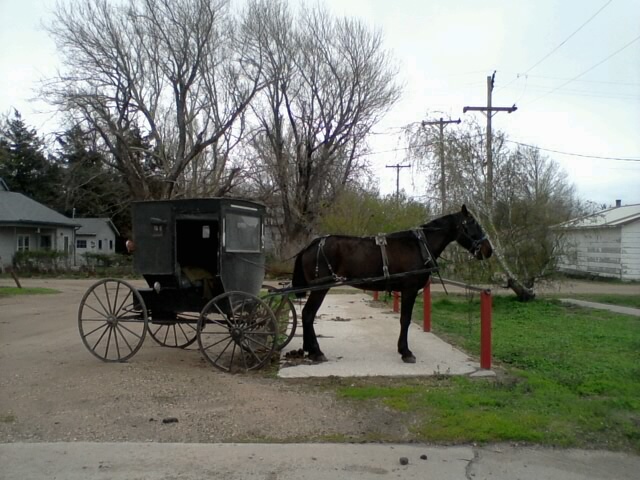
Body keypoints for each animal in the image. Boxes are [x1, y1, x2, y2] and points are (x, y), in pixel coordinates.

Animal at [292, 203, 492, 364]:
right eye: (473, 223)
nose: (489, 250)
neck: (419, 246)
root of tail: (310, 245)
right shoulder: (409, 290)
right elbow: (405, 319)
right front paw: (406, 352)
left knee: (306, 314)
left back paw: (309, 349)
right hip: (320, 288)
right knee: (308, 314)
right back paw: (316, 351)